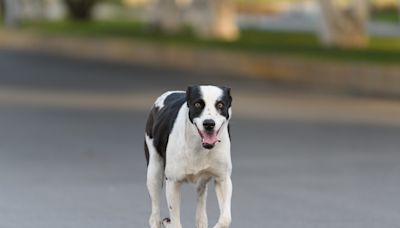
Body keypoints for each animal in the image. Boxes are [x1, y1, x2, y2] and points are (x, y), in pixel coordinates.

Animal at [145, 84, 233, 227]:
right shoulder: (173, 183)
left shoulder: (223, 179)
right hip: (154, 172)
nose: (209, 123)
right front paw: (170, 222)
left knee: (201, 215)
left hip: (201, 184)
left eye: (220, 104)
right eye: (197, 104)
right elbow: (175, 222)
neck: (199, 146)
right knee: (154, 217)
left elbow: (226, 218)